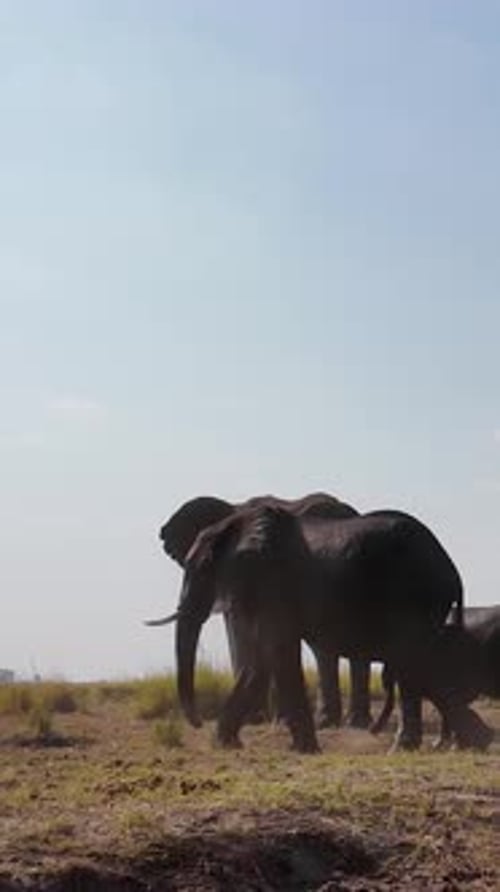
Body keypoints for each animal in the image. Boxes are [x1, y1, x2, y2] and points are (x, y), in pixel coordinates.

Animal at [151, 492, 373, 728]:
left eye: (204, 568)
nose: (199, 723)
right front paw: (260, 719)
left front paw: (257, 719)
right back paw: (347, 722)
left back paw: (337, 722)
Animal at [171, 502, 484, 754]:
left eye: (201, 568)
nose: (197, 723)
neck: (235, 526)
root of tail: (453, 570)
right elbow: (260, 661)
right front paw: (227, 744)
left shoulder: (274, 585)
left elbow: (277, 653)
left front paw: (304, 750)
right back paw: (471, 741)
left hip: (415, 596)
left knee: (413, 664)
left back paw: (409, 747)